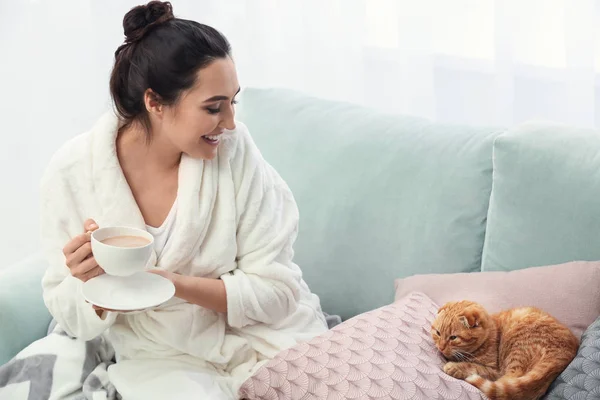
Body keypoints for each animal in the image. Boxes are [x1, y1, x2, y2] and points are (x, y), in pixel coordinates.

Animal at [428, 300, 580, 400]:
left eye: (453, 337)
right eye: (438, 333)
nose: (441, 347)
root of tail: (567, 349)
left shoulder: (494, 370)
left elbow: (475, 367)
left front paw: (455, 367)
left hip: (516, 350)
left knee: (505, 384)